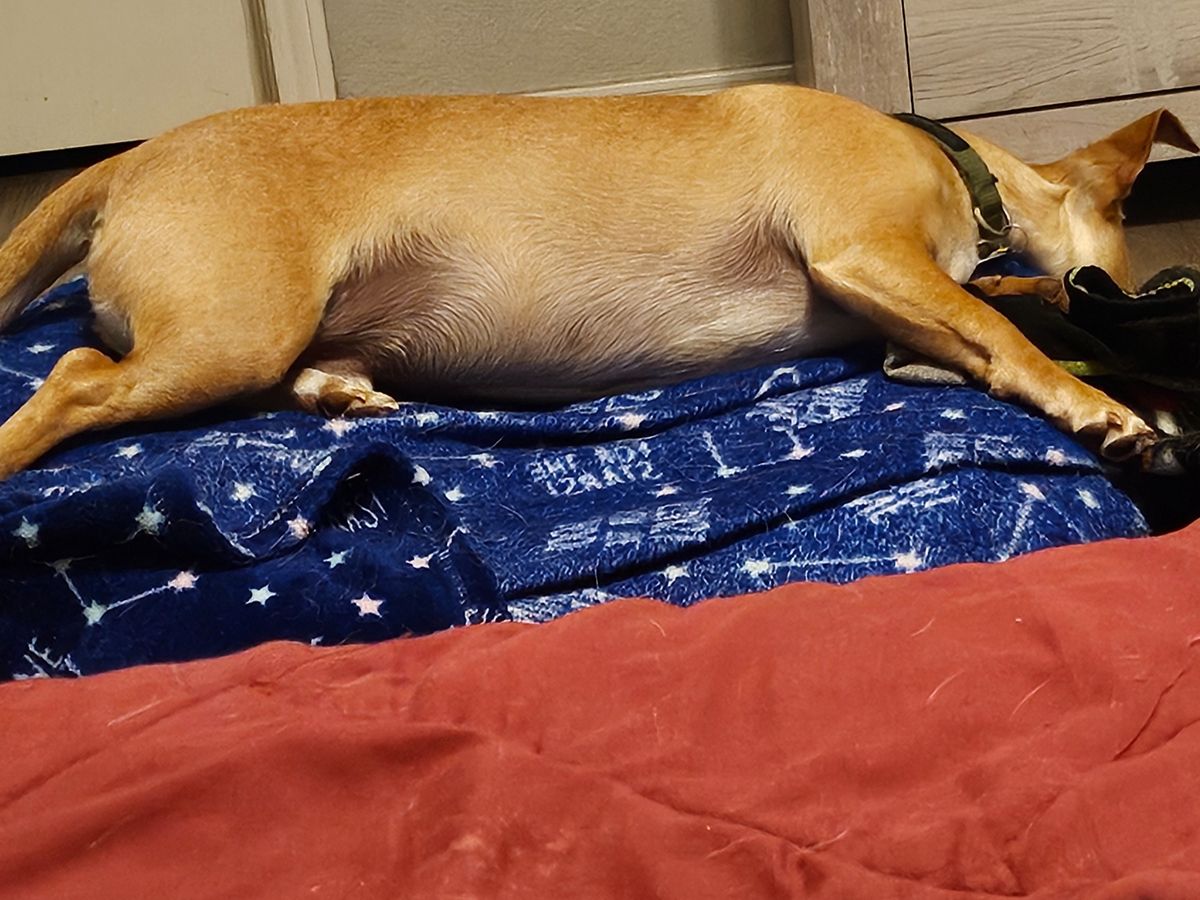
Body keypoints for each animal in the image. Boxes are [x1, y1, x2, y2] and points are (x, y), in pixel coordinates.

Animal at [0, 85, 1195, 479]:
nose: (1138, 292)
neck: (959, 171)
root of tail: (128, 159)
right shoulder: (863, 254)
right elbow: (1023, 340)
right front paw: (1111, 410)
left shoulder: (901, 321)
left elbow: (1003, 323)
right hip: (228, 332)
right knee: (71, 374)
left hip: (265, 341)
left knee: (291, 381)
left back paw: (340, 391)